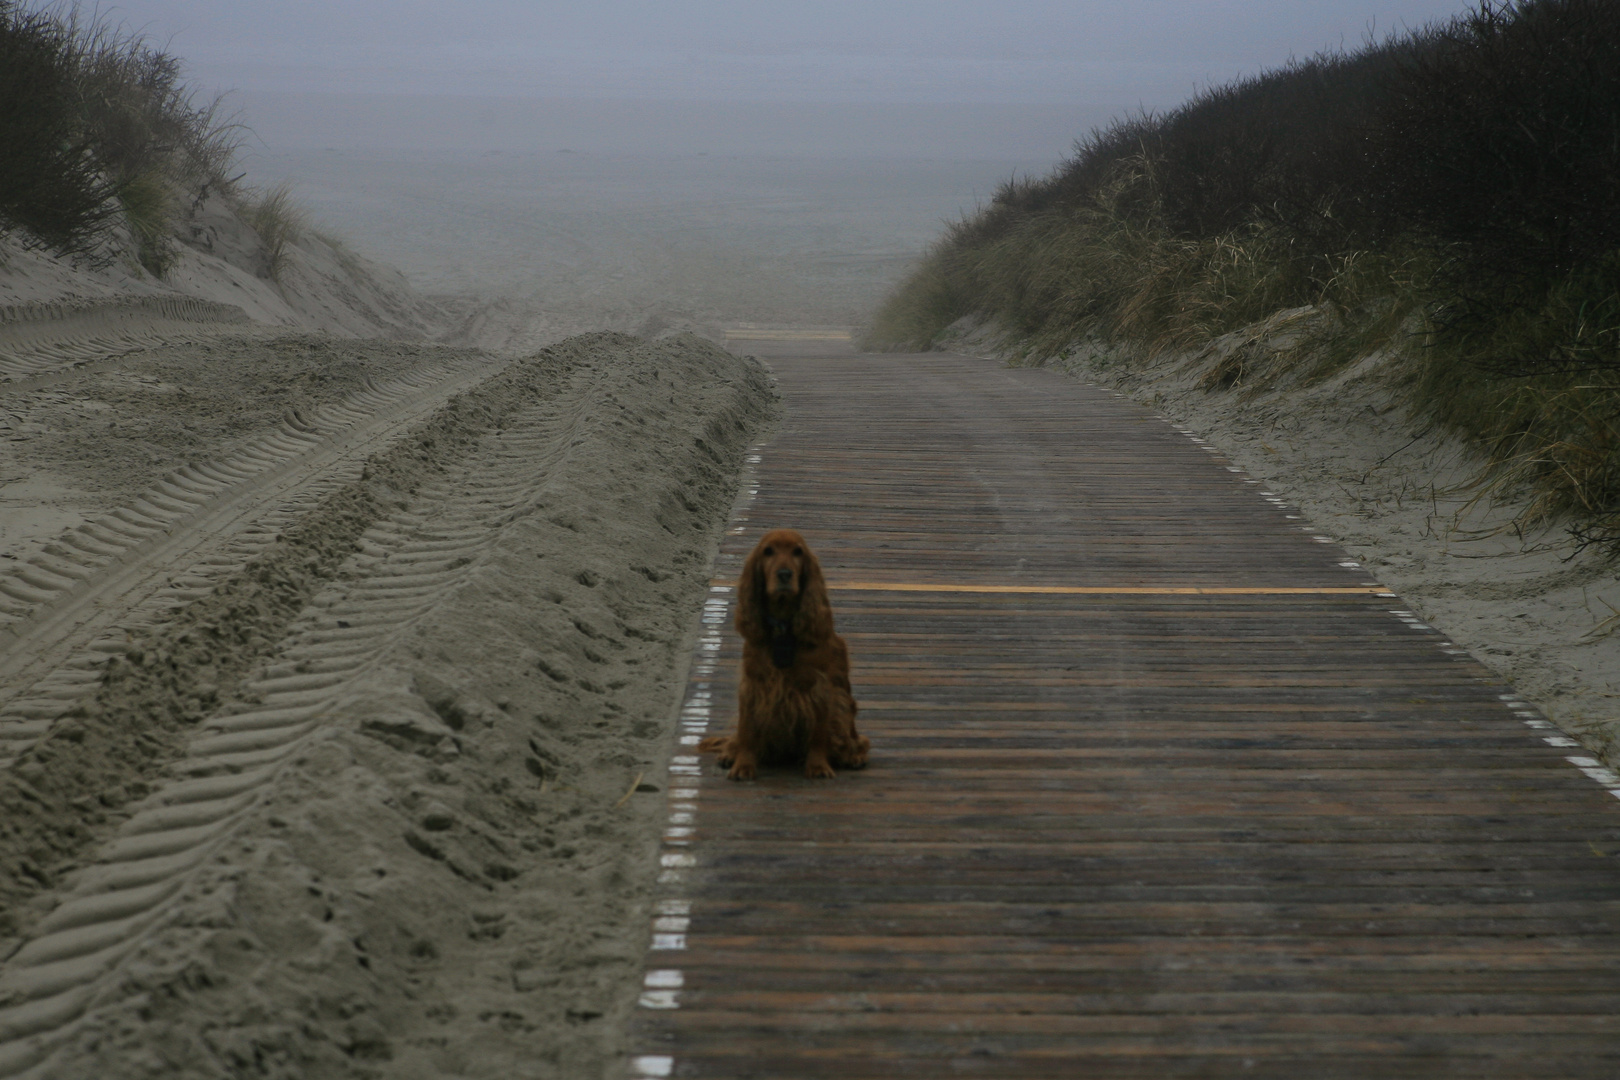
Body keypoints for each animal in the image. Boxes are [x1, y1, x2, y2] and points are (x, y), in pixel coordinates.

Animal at [699, 531, 868, 777]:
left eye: (798, 552)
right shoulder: (753, 684)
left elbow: (819, 734)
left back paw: (853, 756)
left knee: (856, 739)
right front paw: (743, 765)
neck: (782, 626)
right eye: (768, 551)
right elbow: (746, 731)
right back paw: (729, 754)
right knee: (735, 738)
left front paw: (818, 766)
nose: (785, 574)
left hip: (842, 705)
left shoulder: (820, 687)